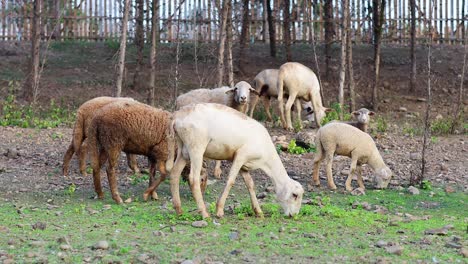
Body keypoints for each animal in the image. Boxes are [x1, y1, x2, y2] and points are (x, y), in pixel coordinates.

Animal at [161, 103, 306, 219]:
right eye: (294, 195)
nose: (293, 215)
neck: (266, 160)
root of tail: (177, 116)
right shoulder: (240, 156)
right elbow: (231, 180)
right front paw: (219, 210)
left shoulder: (244, 165)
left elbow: (250, 184)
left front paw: (258, 211)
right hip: (196, 147)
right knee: (193, 178)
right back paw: (204, 213)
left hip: (183, 150)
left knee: (174, 174)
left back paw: (179, 210)